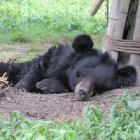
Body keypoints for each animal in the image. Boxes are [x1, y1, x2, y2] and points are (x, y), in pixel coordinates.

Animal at [0, 34, 137, 100]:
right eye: (82, 74)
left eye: (100, 86)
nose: (83, 92)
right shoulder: (53, 59)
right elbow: (37, 70)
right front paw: (23, 88)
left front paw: (46, 85)